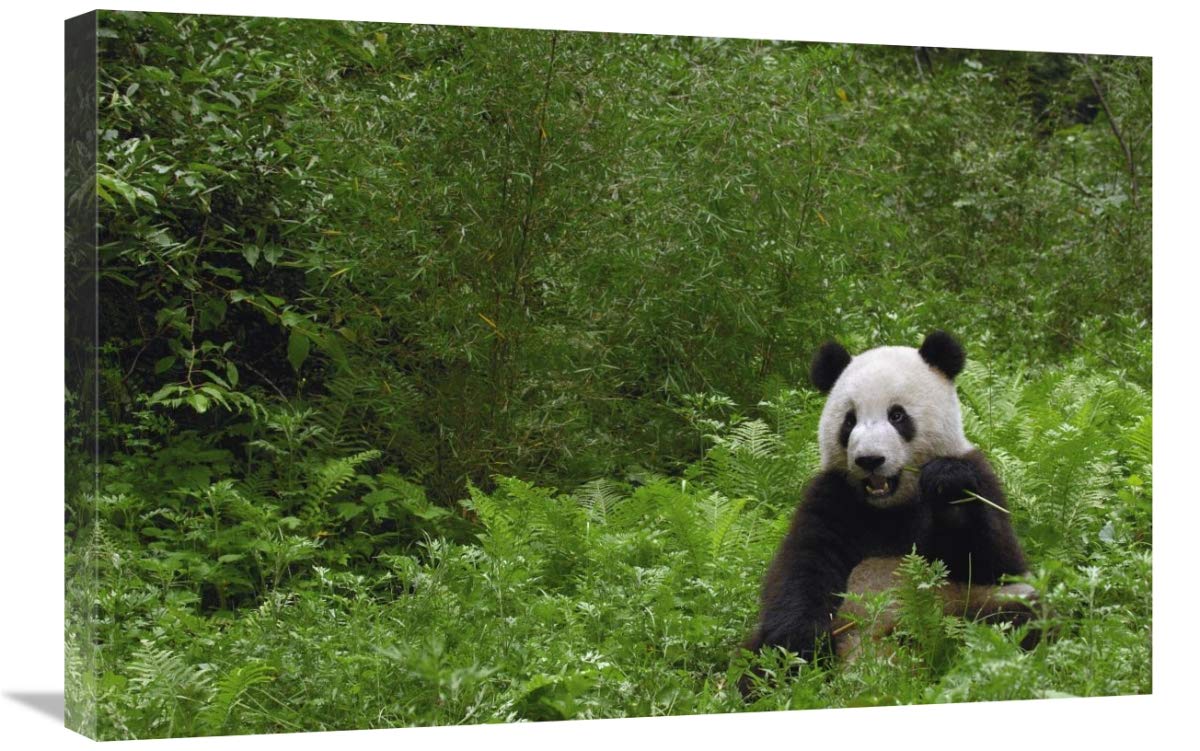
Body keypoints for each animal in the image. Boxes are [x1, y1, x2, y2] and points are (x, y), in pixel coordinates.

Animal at [742, 331, 1035, 675]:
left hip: (971, 606)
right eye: (849, 421)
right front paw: (802, 645)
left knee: (1015, 616)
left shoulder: (981, 476)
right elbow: (803, 567)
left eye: (897, 415)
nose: (870, 460)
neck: (891, 504)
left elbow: (996, 562)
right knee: (759, 653)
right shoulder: (833, 496)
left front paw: (947, 484)